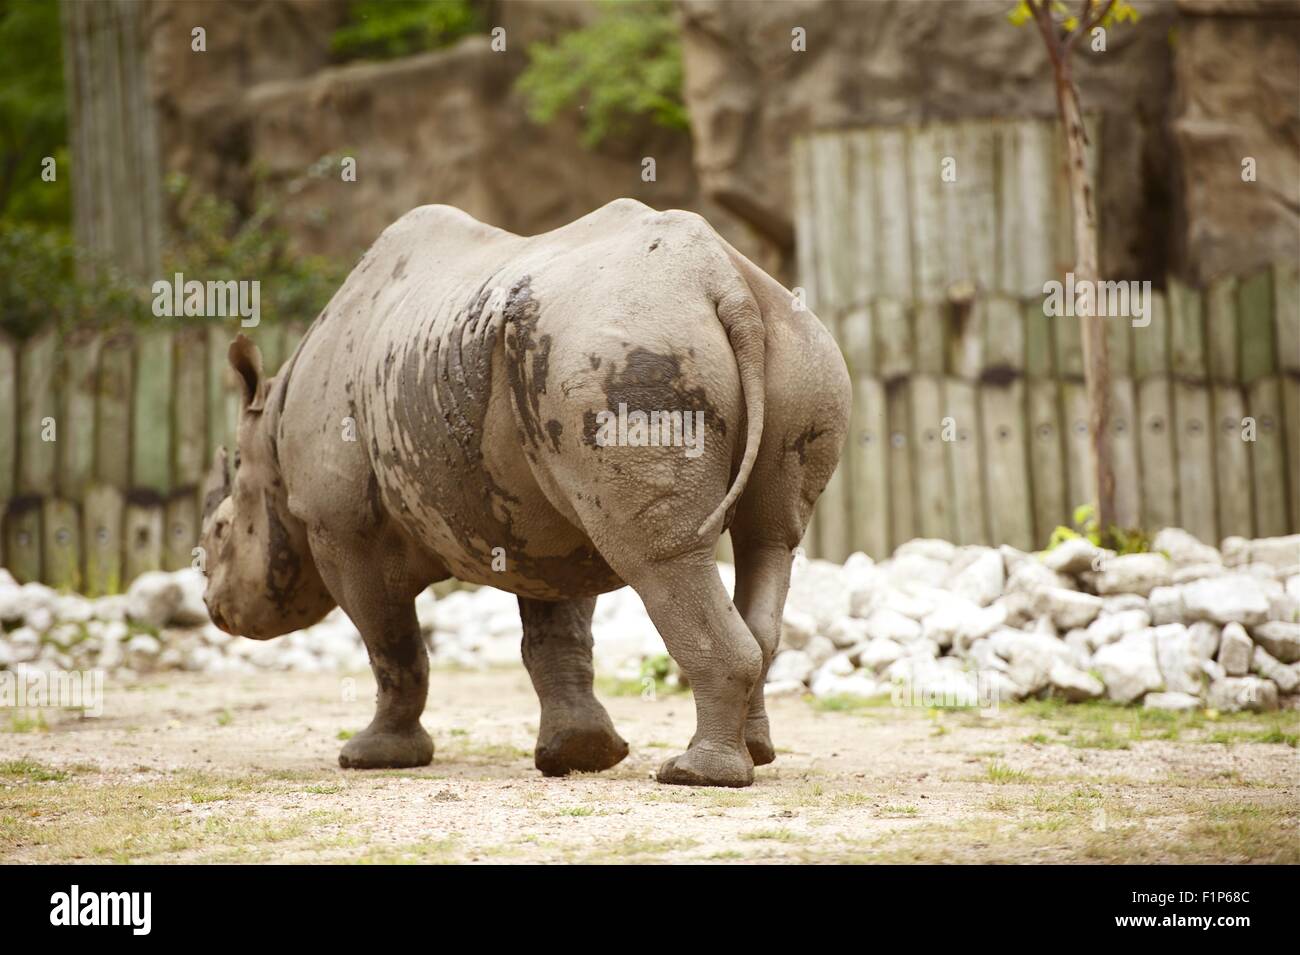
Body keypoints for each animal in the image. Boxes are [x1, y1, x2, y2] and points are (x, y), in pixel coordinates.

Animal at [200, 199, 850, 787]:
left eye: (220, 529)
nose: (213, 607)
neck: (271, 437)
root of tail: (722, 281)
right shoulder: (545, 522)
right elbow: (555, 633)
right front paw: (579, 755)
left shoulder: (341, 528)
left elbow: (393, 644)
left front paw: (371, 758)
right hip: (796, 348)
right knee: (770, 540)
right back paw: (754, 756)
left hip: (624, 353)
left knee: (660, 556)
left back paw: (694, 775)